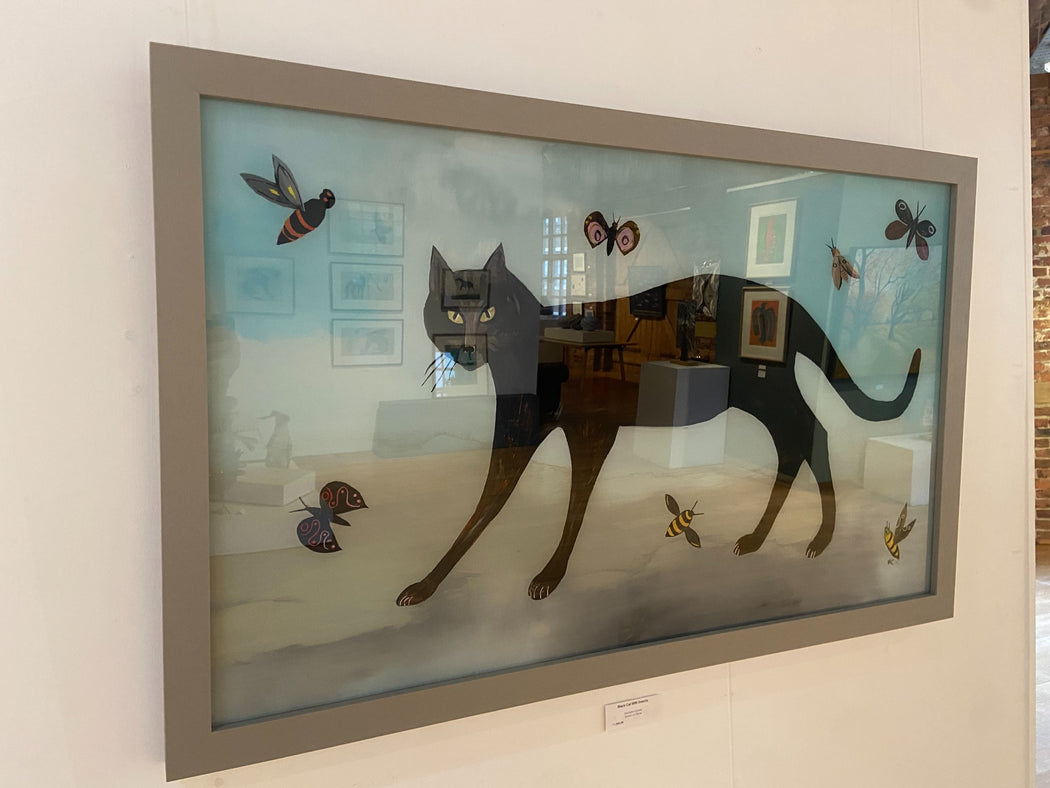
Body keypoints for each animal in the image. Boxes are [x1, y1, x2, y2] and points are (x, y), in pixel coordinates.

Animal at [396, 244, 920, 605]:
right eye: (450, 311)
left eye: (488, 310)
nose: (468, 347)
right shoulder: (517, 434)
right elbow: (487, 502)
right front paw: (425, 584)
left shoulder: (591, 430)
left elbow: (573, 501)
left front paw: (550, 575)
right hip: (769, 397)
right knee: (798, 444)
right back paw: (762, 539)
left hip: (769, 392)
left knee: (814, 436)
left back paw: (817, 539)